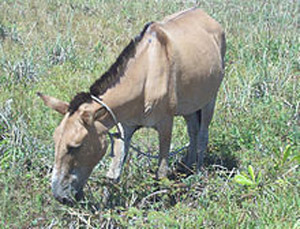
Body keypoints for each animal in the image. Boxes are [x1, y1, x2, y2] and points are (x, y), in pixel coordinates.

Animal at [37, 7, 225, 205]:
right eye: (55, 140)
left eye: (75, 146)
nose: (59, 196)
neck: (146, 76)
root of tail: (206, 15)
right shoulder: (124, 127)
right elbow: (113, 175)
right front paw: (106, 205)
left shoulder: (166, 125)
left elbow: (161, 172)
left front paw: (160, 201)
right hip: (190, 105)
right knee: (193, 131)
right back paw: (187, 168)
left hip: (210, 100)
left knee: (202, 135)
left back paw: (197, 174)